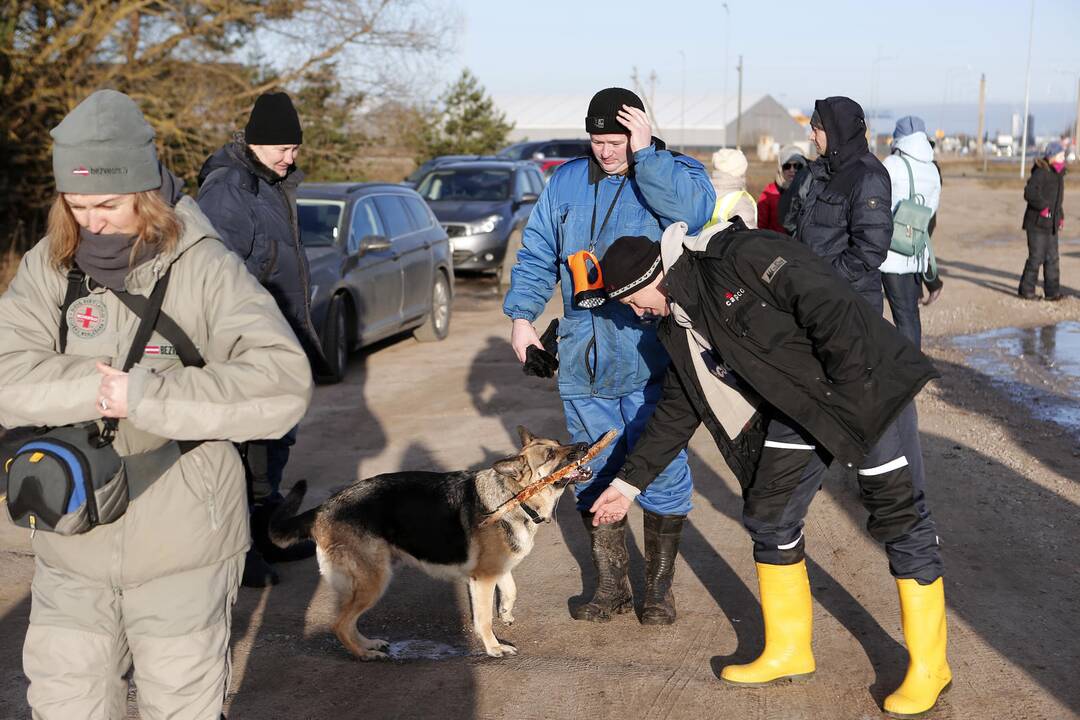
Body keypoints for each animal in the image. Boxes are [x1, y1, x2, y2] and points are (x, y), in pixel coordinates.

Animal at [268, 427, 591, 660]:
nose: (586, 445)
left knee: (348, 621)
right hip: (374, 580)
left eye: (559, 442)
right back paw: (363, 654)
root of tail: (322, 508)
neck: (513, 496)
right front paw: (494, 648)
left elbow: (510, 589)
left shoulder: (495, 571)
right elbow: (483, 618)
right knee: (340, 624)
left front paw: (506, 613)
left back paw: (370, 644)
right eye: (551, 453)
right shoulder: (483, 578)